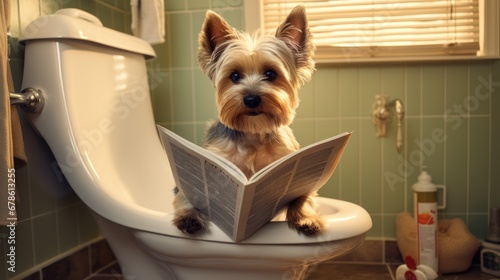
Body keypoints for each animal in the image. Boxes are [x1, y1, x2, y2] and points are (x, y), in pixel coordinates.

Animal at [172, 4, 322, 236]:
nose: (251, 99)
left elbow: (303, 193)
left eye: (271, 74)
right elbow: (188, 193)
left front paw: (306, 219)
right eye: (234, 76)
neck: (253, 132)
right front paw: (189, 217)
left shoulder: (288, 163)